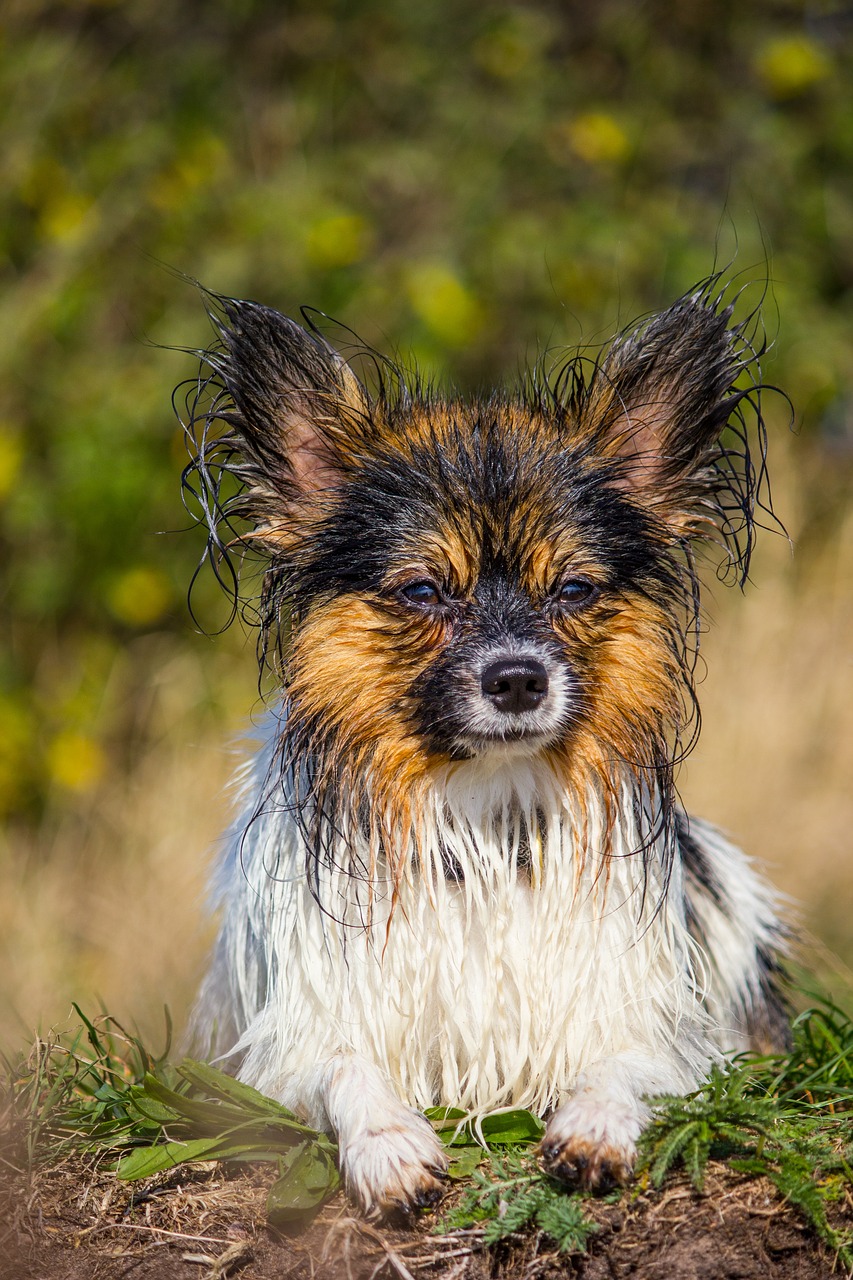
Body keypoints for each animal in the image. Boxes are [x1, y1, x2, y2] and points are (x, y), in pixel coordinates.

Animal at [183, 280, 788, 1218]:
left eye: (571, 590)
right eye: (424, 592)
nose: (516, 680)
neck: (484, 815)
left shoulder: (656, 1029)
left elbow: (622, 1068)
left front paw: (593, 1127)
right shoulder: (296, 1043)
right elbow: (347, 1070)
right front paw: (388, 1144)